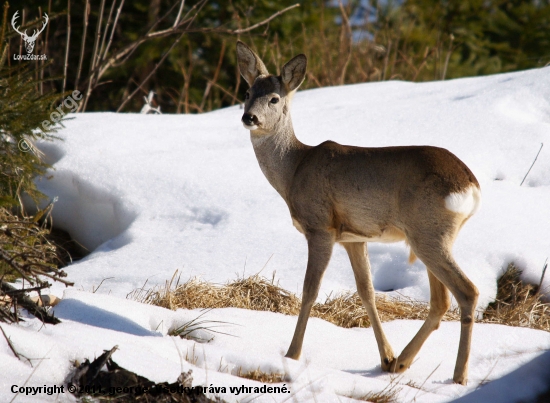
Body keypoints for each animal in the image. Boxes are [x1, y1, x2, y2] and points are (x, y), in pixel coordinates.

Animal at [237, 41, 484, 386]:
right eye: (247, 92)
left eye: (274, 98)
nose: (249, 117)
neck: (294, 170)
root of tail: (471, 184)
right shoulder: (353, 238)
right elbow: (366, 291)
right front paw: (385, 356)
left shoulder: (320, 227)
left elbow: (310, 290)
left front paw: (292, 354)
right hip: (432, 235)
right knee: (441, 300)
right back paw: (401, 362)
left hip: (427, 232)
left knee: (467, 291)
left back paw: (458, 376)